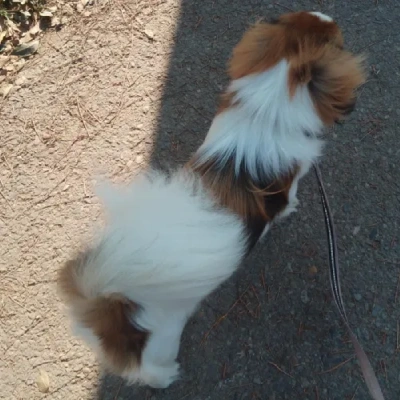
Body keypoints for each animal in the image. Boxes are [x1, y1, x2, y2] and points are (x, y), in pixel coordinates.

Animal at [56, 10, 366, 390]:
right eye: (336, 39)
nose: (326, 14)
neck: (263, 114)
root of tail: (105, 299)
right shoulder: (293, 180)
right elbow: (289, 200)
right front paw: (289, 211)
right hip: (163, 337)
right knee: (147, 369)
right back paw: (166, 376)